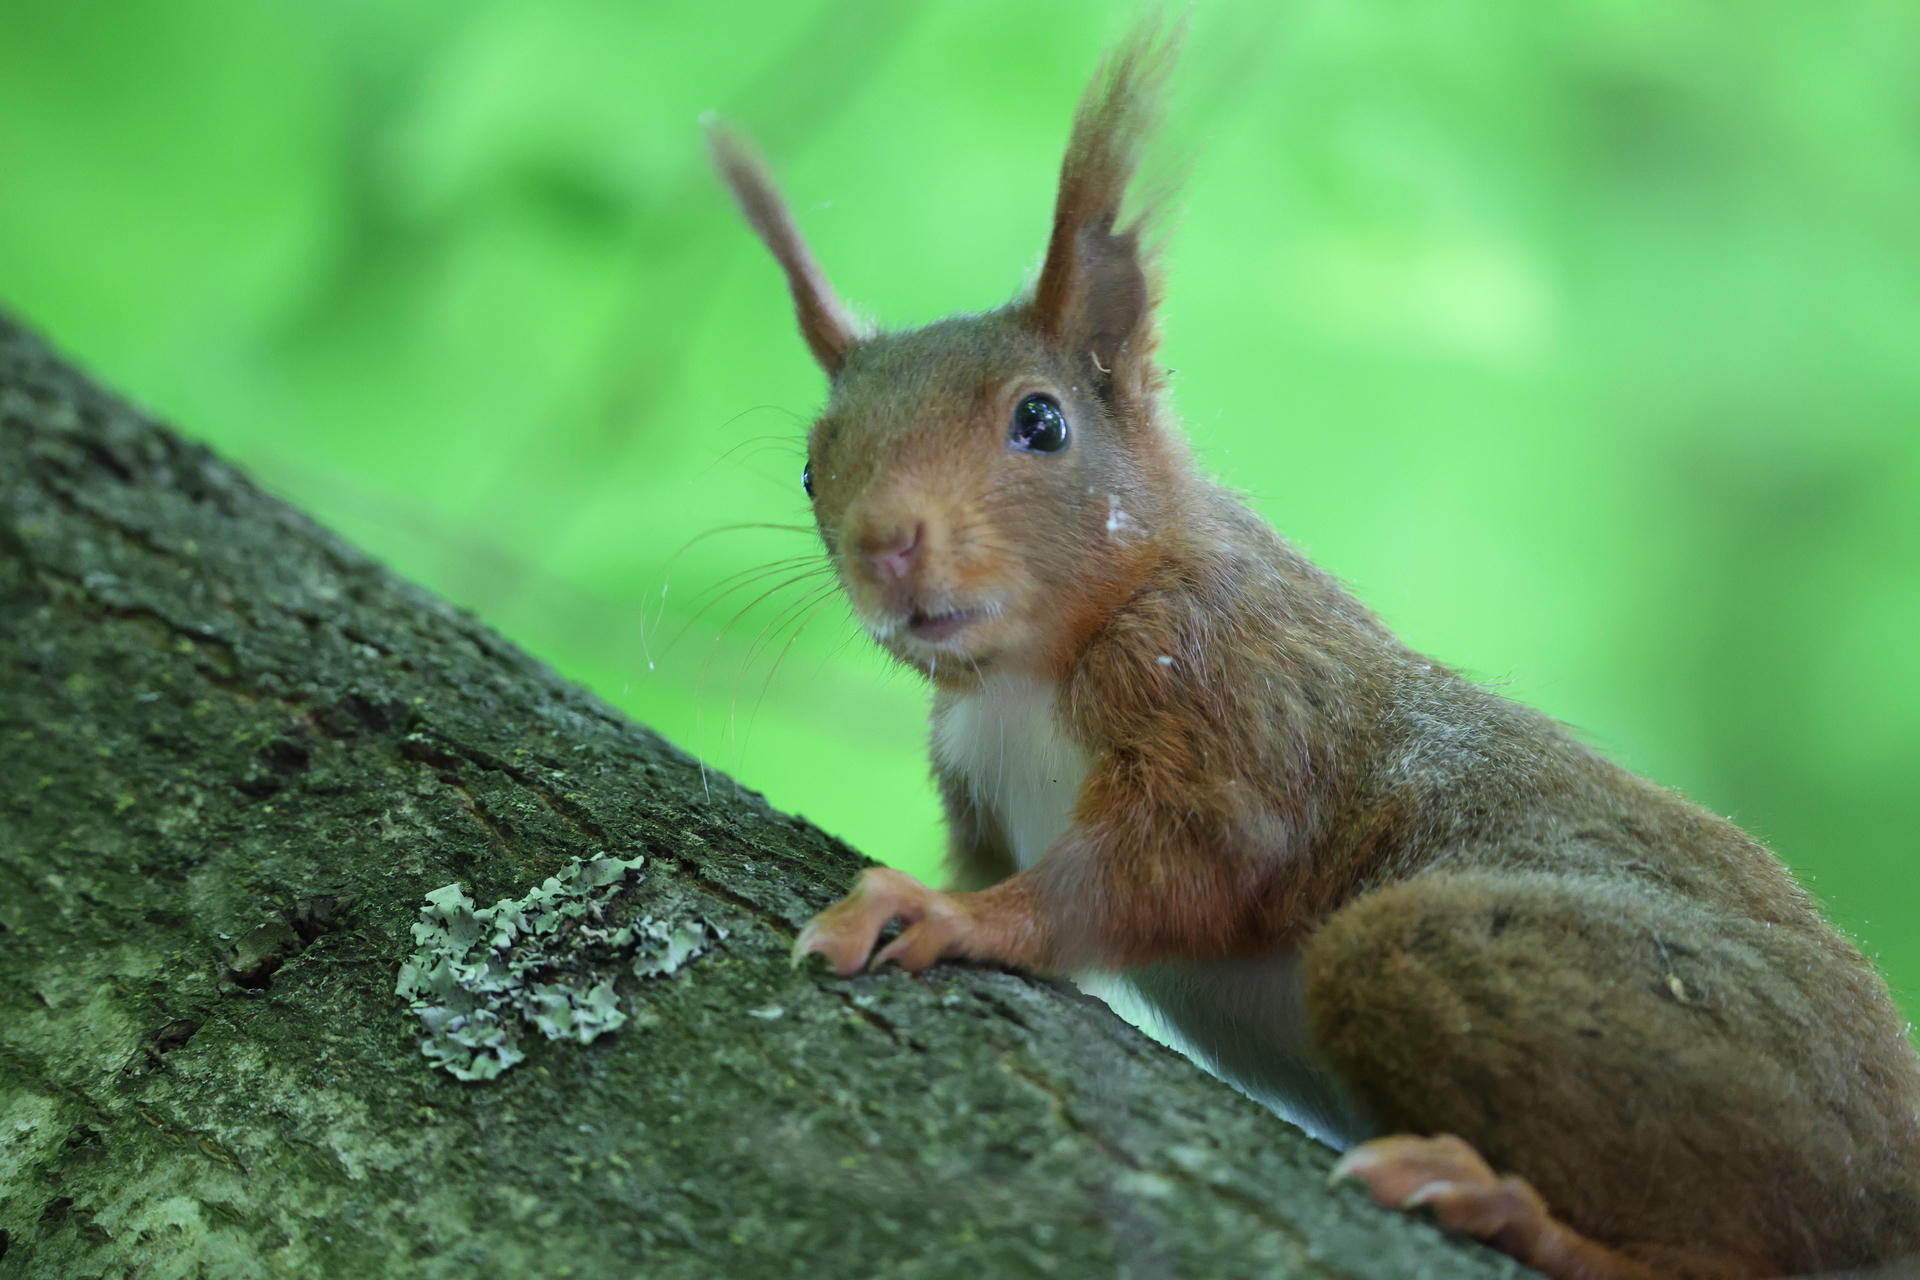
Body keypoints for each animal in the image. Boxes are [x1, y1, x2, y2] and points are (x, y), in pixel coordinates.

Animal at [706, 17, 1920, 1280]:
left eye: (1041, 421)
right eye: (811, 468)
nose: (886, 547)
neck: (1032, 669)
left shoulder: (1243, 703)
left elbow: (1167, 869)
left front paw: (946, 919)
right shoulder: (982, 783)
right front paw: (945, 896)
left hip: (1594, 1002)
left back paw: (1503, 1204)